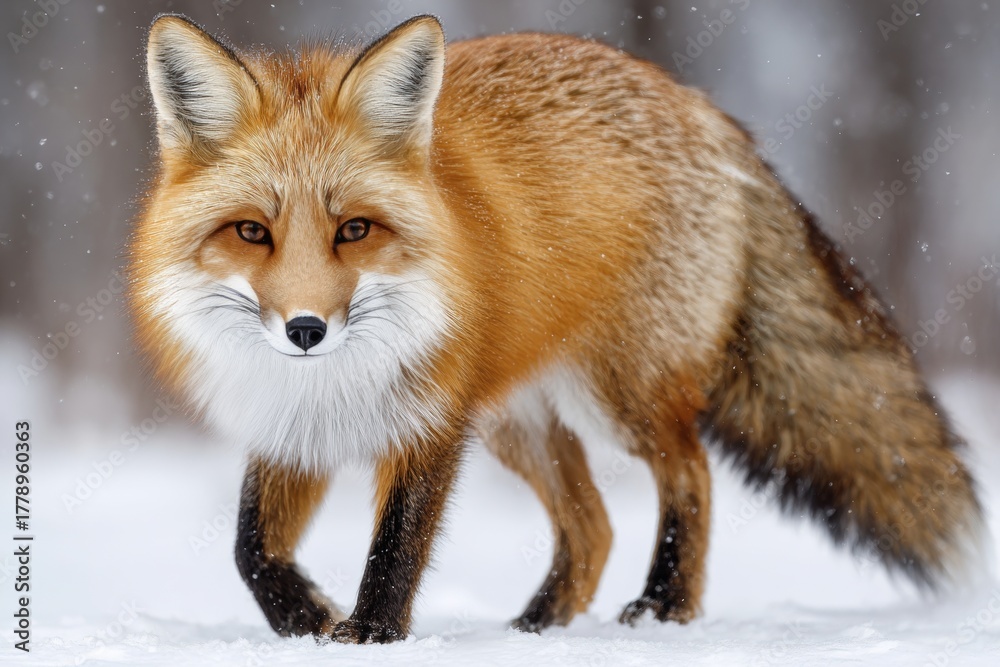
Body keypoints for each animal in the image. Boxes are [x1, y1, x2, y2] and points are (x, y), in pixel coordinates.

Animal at [129, 13, 984, 643]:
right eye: (251, 232)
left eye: (355, 231)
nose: (306, 328)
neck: (329, 378)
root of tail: (700, 105)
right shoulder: (289, 422)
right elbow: (251, 549)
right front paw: (306, 618)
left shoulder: (431, 417)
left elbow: (397, 545)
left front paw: (370, 633)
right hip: (518, 421)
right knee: (593, 525)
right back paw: (536, 626)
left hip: (617, 398)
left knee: (691, 473)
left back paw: (666, 605)